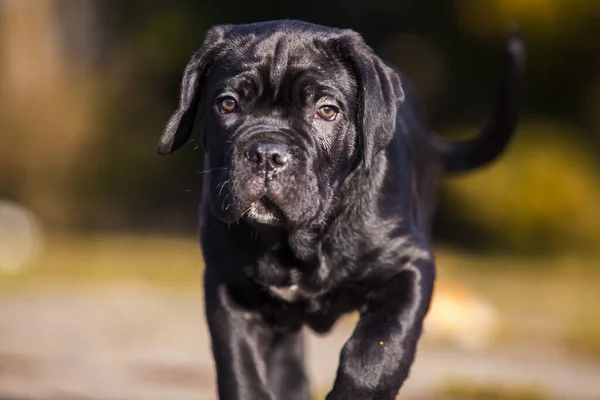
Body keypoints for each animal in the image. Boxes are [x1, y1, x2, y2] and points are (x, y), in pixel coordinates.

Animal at [156, 19, 524, 400]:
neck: (300, 242)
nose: (267, 154)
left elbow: (376, 354)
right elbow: (241, 372)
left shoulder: (409, 267)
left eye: (327, 110)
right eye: (228, 104)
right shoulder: (231, 288)